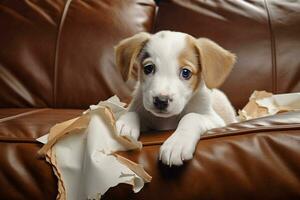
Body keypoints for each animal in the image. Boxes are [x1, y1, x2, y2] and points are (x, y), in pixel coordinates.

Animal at [114, 30, 237, 166]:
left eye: (186, 72)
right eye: (148, 68)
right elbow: (133, 113)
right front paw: (124, 126)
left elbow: (191, 116)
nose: (161, 101)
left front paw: (177, 144)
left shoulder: (215, 120)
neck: (167, 119)